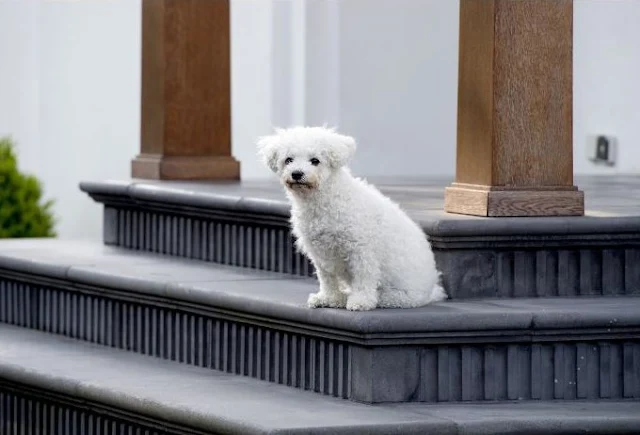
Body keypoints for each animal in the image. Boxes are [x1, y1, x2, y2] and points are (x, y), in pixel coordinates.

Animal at [258, 127, 448, 314]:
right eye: (288, 160)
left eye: (315, 161)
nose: (297, 173)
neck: (326, 200)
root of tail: (431, 292)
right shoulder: (320, 253)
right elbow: (327, 279)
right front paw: (328, 299)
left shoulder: (361, 250)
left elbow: (364, 278)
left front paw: (360, 302)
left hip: (403, 294)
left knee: (393, 297)